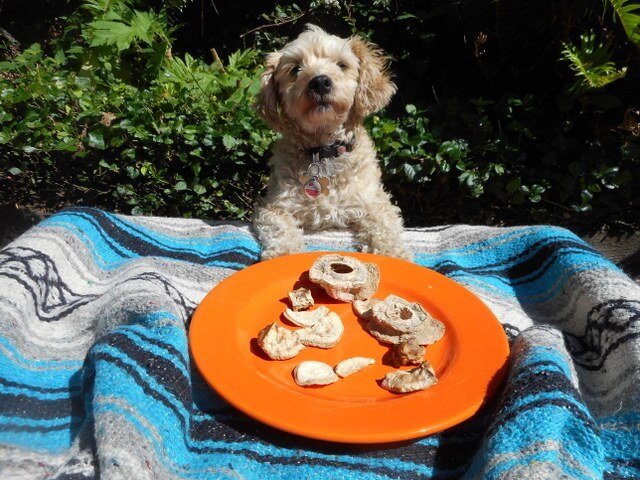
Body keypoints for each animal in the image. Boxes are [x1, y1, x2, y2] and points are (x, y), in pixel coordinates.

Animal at [252, 24, 412, 260]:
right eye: (295, 69)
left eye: (342, 64)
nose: (320, 81)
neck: (323, 149)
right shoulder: (273, 206)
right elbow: (282, 229)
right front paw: (284, 255)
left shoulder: (377, 202)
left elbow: (384, 227)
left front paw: (392, 254)